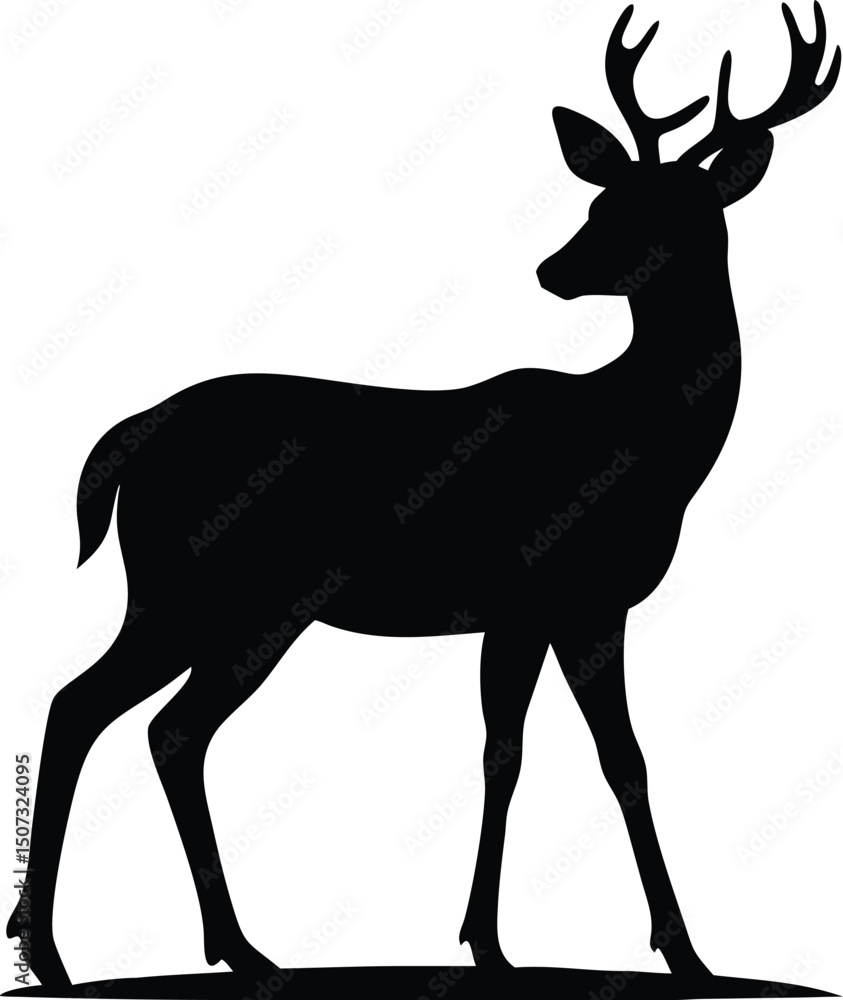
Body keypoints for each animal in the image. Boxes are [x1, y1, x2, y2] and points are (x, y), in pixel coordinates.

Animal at [7, 2, 839, 988]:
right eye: (600, 202)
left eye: (672, 213)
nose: (553, 270)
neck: (644, 447)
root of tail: (128, 437)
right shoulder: (537, 594)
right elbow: (518, 756)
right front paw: (504, 944)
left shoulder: (581, 608)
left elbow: (606, 759)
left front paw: (668, 954)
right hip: (202, 589)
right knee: (95, 709)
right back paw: (71, 953)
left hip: (231, 605)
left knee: (158, 726)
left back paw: (223, 950)